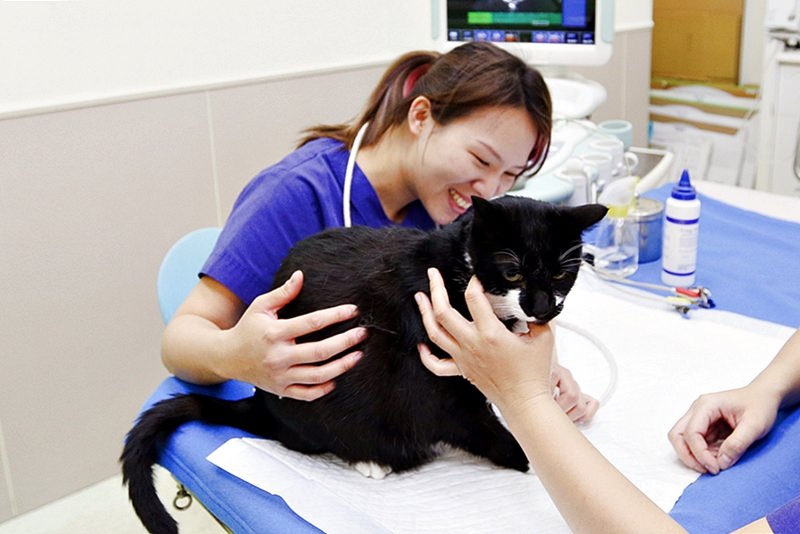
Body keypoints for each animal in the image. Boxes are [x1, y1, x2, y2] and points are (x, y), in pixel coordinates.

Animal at [120, 197, 608, 534]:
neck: (456, 272)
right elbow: (475, 422)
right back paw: (371, 460)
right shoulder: (435, 384)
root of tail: (261, 406)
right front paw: (527, 457)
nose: (543, 308)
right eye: (513, 273)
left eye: (562, 274)